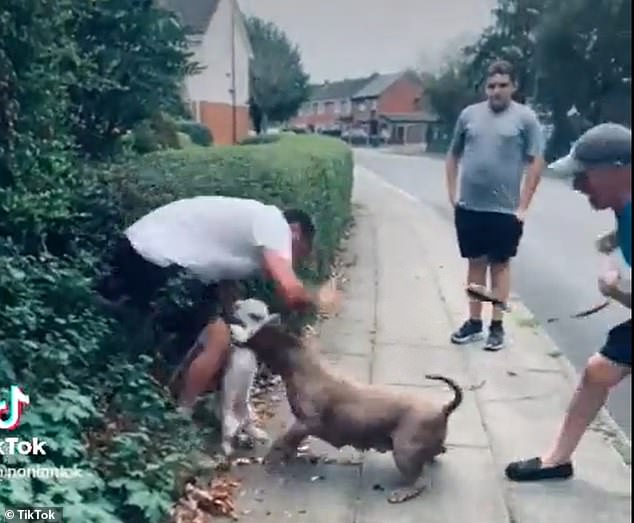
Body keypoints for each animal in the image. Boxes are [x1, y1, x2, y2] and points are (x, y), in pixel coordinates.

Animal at [244, 324, 462, 504]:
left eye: (262, 334)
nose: (243, 338)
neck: (302, 364)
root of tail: (444, 409)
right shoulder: (302, 426)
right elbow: (291, 441)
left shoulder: (306, 423)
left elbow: (282, 439)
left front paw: (273, 457)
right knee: (437, 452)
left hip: (404, 453)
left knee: (421, 481)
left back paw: (403, 492)